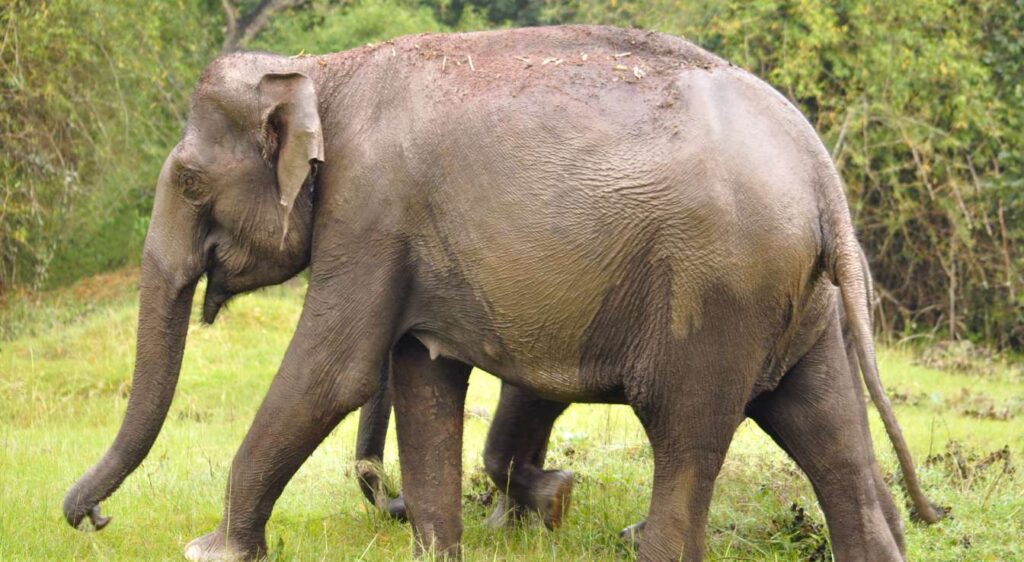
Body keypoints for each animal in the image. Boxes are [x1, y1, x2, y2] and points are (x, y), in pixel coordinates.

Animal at [62, 25, 942, 561]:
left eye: (187, 180)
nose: (88, 518)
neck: (323, 71)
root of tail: (819, 167)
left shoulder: (370, 210)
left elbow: (333, 371)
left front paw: (208, 550)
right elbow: (421, 375)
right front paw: (448, 544)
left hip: (718, 289)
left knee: (689, 435)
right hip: (797, 300)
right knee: (821, 421)